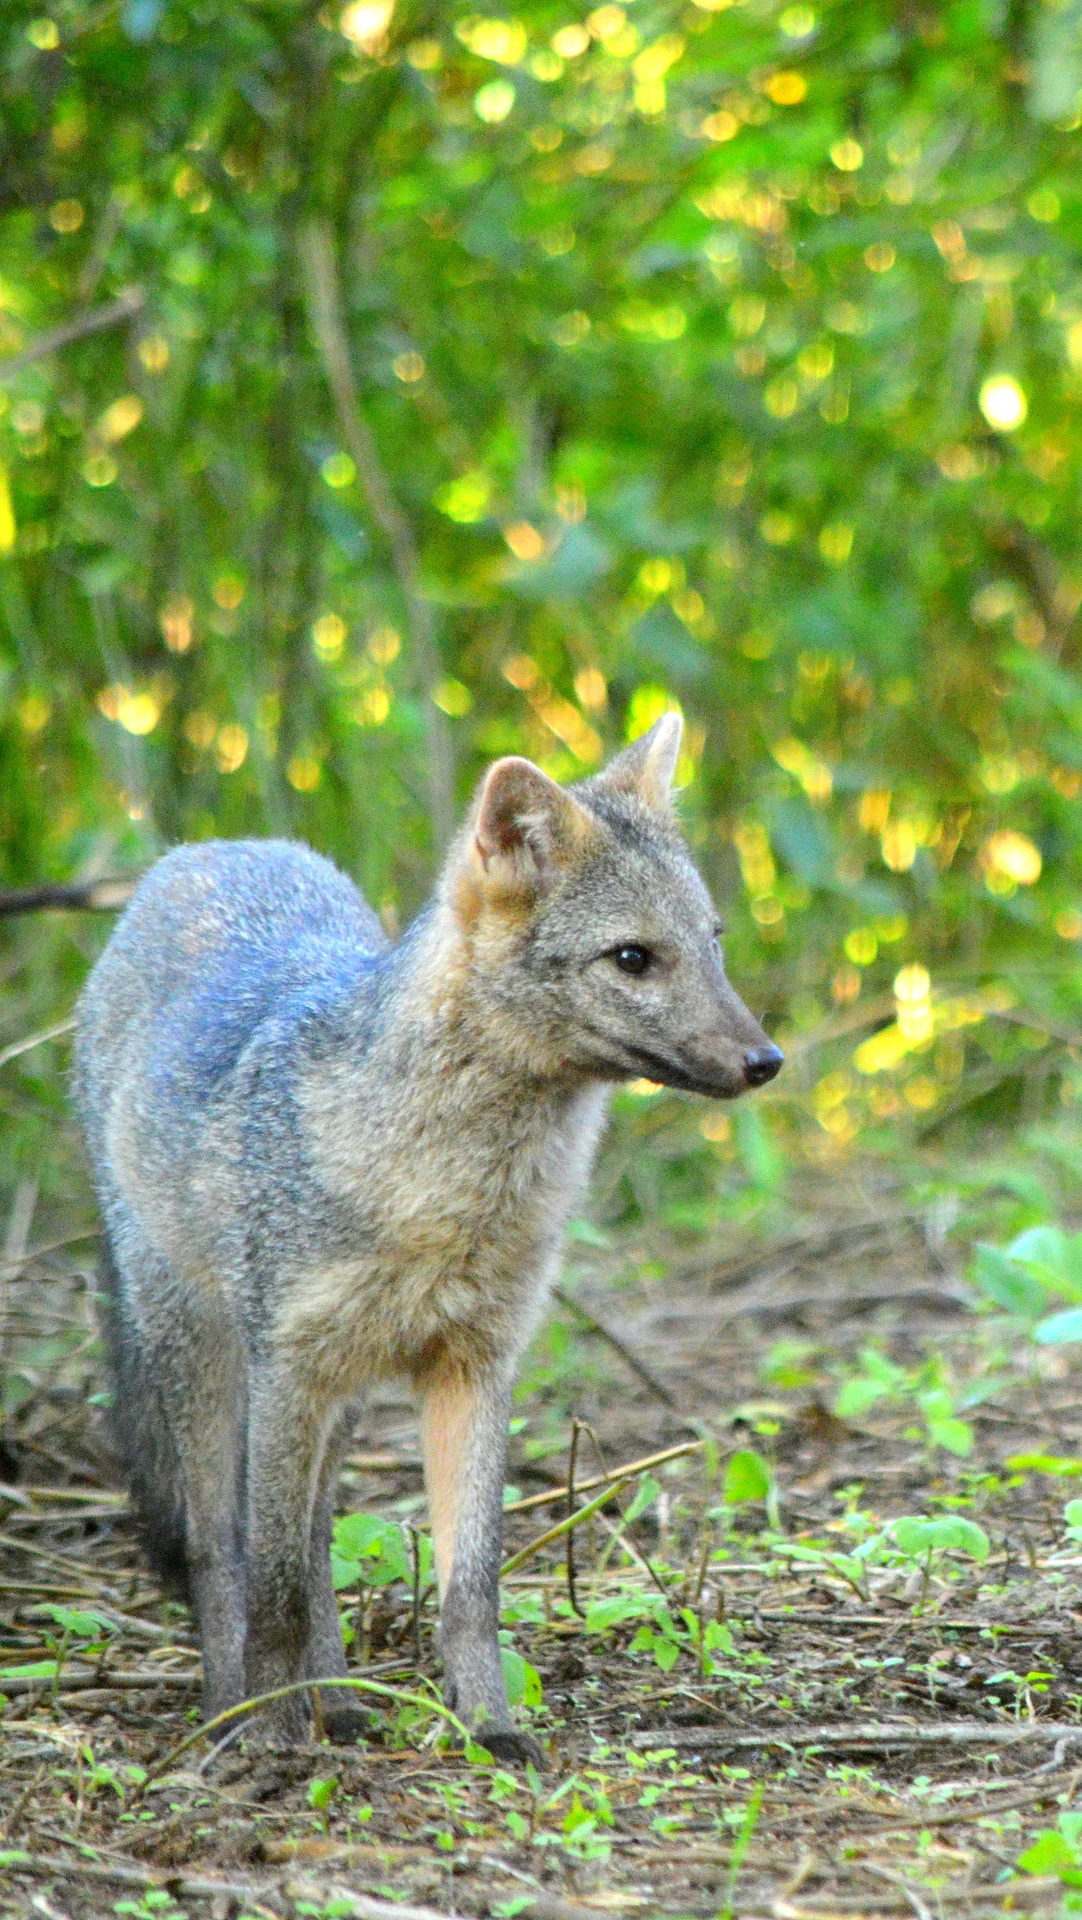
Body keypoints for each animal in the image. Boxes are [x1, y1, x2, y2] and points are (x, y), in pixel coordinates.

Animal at [73, 714, 782, 1764]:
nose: (766, 1060)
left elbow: (469, 1587)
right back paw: (233, 1712)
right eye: (634, 959)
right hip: (204, 1359)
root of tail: (214, 849)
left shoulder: (475, 1363)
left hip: (341, 1400)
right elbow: (270, 1586)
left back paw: (336, 1701)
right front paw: (272, 1738)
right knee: (223, 1549)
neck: (451, 1200)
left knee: (315, 1542)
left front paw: (489, 1726)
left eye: (713, 945)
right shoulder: (288, 1367)